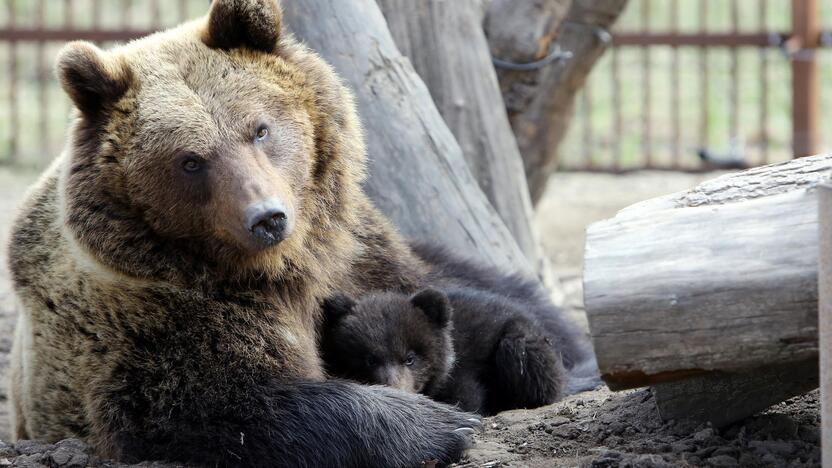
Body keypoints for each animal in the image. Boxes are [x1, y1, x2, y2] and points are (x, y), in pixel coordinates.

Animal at [6, 1, 480, 466]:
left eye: (260, 129)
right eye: (190, 160)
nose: (267, 217)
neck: (284, 268)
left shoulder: (359, 255)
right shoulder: (155, 318)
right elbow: (221, 404)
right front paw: (441, 425)